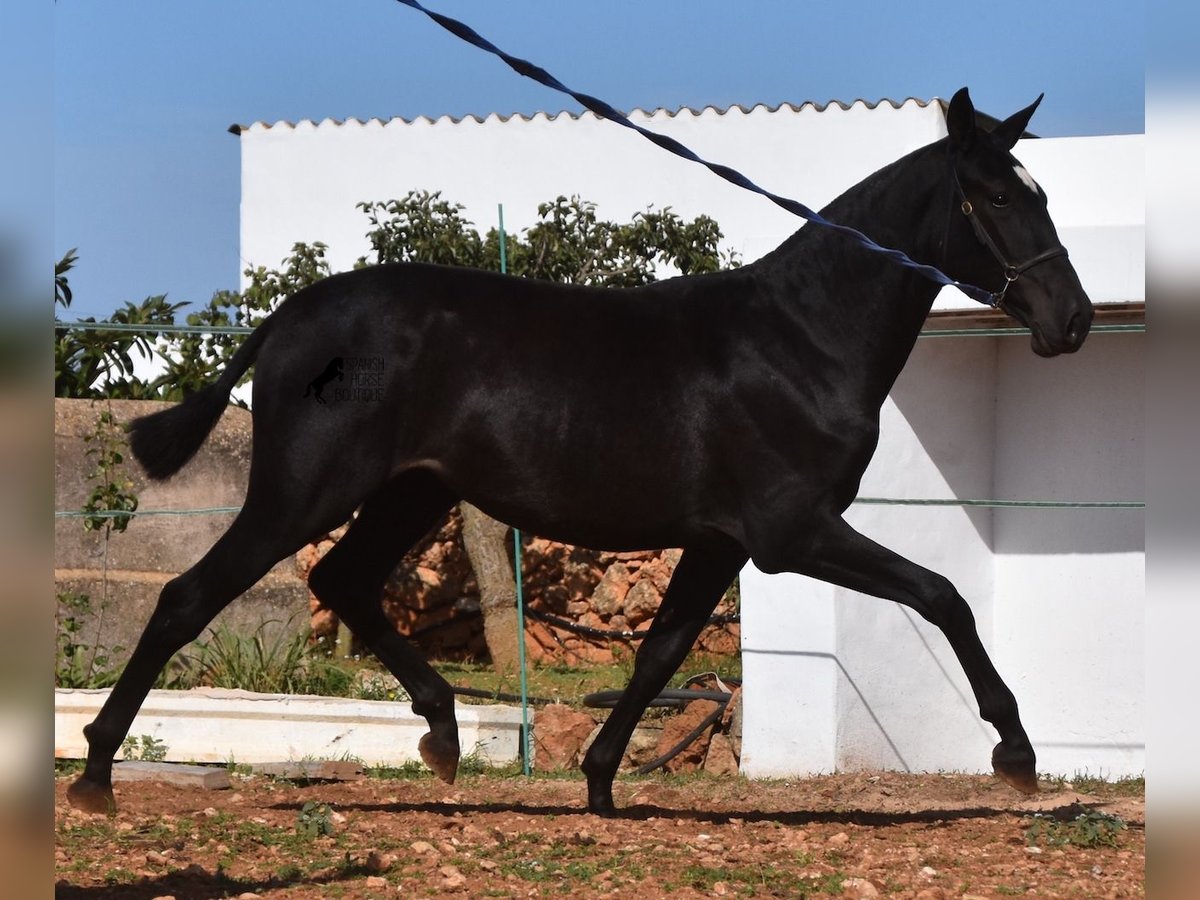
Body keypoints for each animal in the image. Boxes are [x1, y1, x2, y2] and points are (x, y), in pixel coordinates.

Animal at [70, 90, 1094, 816]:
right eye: (997, 196)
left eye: (1041, 192)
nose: (1072, 321)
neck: (801, 339)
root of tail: (291, 317)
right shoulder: (792, 533)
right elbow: (944, 596)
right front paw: (1016, 755)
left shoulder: (719, 540)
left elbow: (662, 650)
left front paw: (600, 782)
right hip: (306, 491)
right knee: (190, 597)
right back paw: (95, 775)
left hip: (411, 493)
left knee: (343, 581)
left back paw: (443, 735)